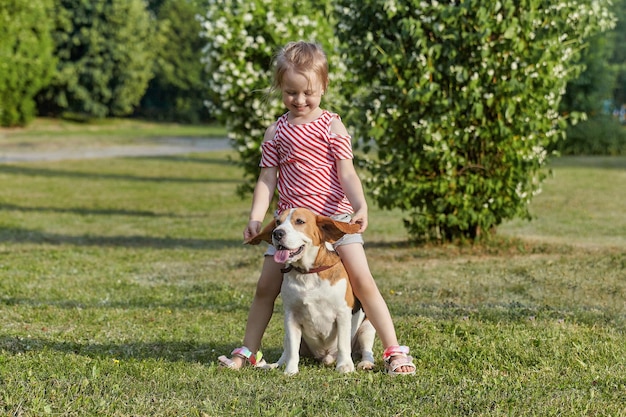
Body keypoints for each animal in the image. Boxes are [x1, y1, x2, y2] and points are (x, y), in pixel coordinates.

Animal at [245, 208, 372, 374]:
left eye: (299, 221)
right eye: (278, 222)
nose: (277, 233)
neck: (308, 273)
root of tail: (325, 357)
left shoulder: (342, 313)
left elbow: (343, 344)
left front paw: (344, 365)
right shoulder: (291, 316)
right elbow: (293, 350)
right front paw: (290, 371)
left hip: (367, 328)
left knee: (366, 350)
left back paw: (366, 363)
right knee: (287, 351)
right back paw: (275, 365)